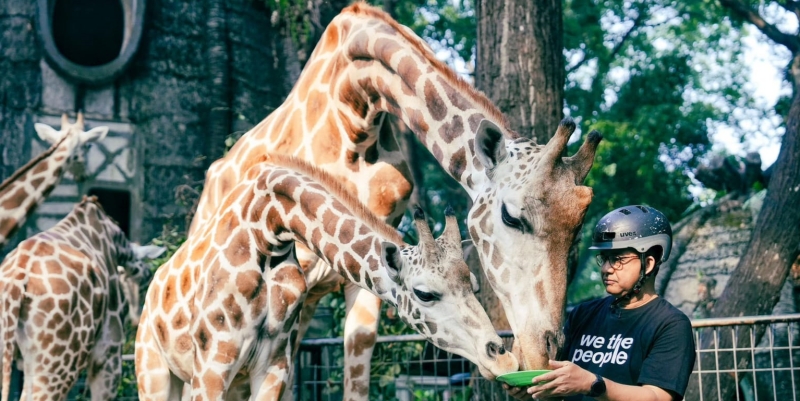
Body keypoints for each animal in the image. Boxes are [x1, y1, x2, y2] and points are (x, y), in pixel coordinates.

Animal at [137, 154, 520, 400]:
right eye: (425, 293)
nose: (502, 357)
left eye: (474, 286)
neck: (266, 232)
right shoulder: (212, 367)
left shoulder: (273, 366)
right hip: (154, 372)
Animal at [189, 3, 600, 396]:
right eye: (511, 217)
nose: (544, 352)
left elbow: (356, 370)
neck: (354, 111)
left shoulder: (368, 272)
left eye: (578, 230)